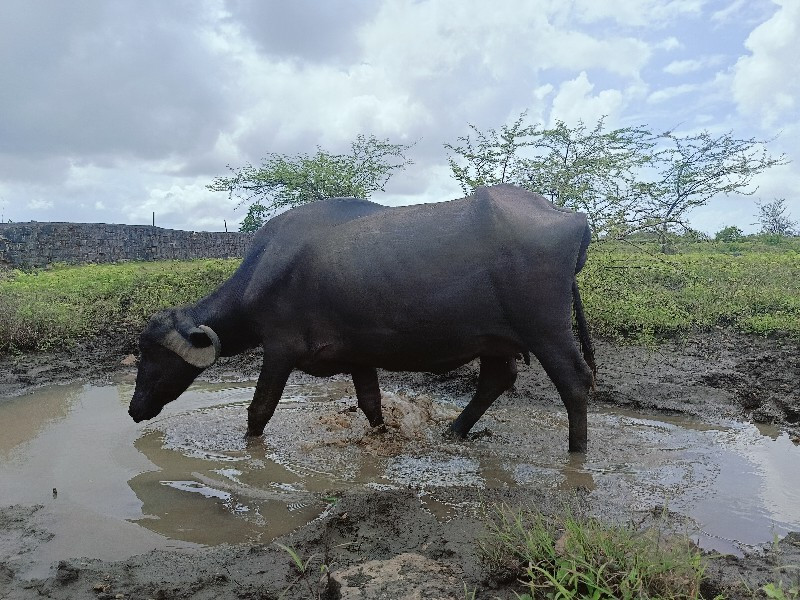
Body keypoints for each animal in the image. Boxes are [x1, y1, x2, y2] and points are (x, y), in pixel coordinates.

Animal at [130, 185, 592, 452]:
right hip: (495, 339)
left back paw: (577, 451)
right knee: (496, 380)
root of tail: (571, 218)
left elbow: (259, 410)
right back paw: (453, 432)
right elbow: (371, 404)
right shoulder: (359, 355)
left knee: (575, 383)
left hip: (547, 331)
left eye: (151, 355)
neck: (265, 272)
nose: (134, 410)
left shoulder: (279, 349)